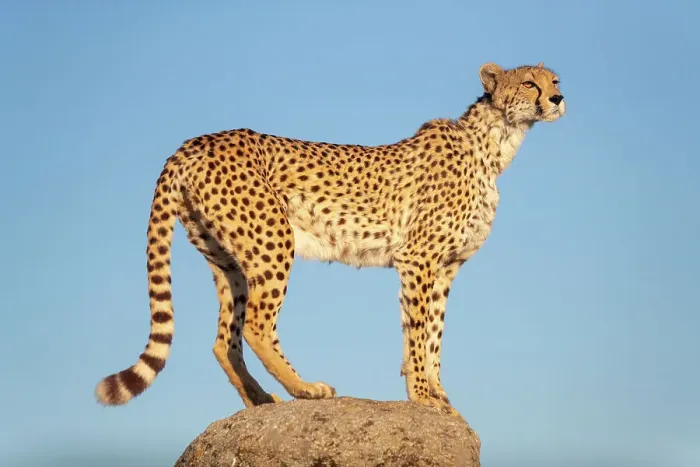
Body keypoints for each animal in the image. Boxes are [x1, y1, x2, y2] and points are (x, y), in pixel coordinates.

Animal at [95, 62, 565, 418]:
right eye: (529, 82)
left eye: (555, 80)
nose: (559, 99)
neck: (497, 143)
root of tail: (194, 141)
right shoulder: (418, 260)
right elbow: (417, 333)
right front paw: (422, 395)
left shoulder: (446, 267)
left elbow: (434, 334)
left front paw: (441, 396)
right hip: (273, 240)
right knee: (257, 326)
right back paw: (305, 389)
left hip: (228, 259)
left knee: (224, 339)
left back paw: (261, 399)